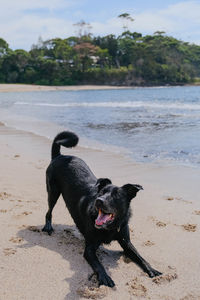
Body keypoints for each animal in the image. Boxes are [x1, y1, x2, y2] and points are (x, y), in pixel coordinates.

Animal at [41, 131, 161, 286]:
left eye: (116, 196)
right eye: (102, 192)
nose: (99, 201)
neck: (111, 227)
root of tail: (59, 156)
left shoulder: (126, 243)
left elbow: (140, 257)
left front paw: (152, 269)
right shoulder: (89, 249)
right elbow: (98, 264)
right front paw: (105, 277)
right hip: (53, 192)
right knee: (48, 211)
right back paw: (48, 226)